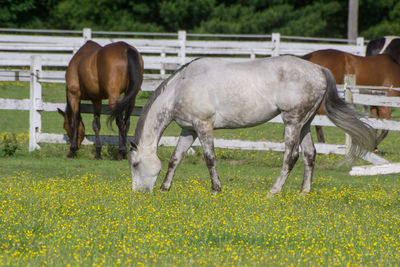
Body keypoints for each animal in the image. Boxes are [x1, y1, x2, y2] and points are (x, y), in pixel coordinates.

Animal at [119, 56, 376, 197]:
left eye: (135, 164)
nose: (139, 193)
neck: (181, 87)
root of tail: (318, 70)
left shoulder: (203, 125)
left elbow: (209, 158)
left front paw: (216, 189)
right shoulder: (188, 129)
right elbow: (175, 158)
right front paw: (165, 188)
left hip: (292, 122)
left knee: (291, 156)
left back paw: (273, 192)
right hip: (305, 123)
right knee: (309, 155)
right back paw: (304, 192)